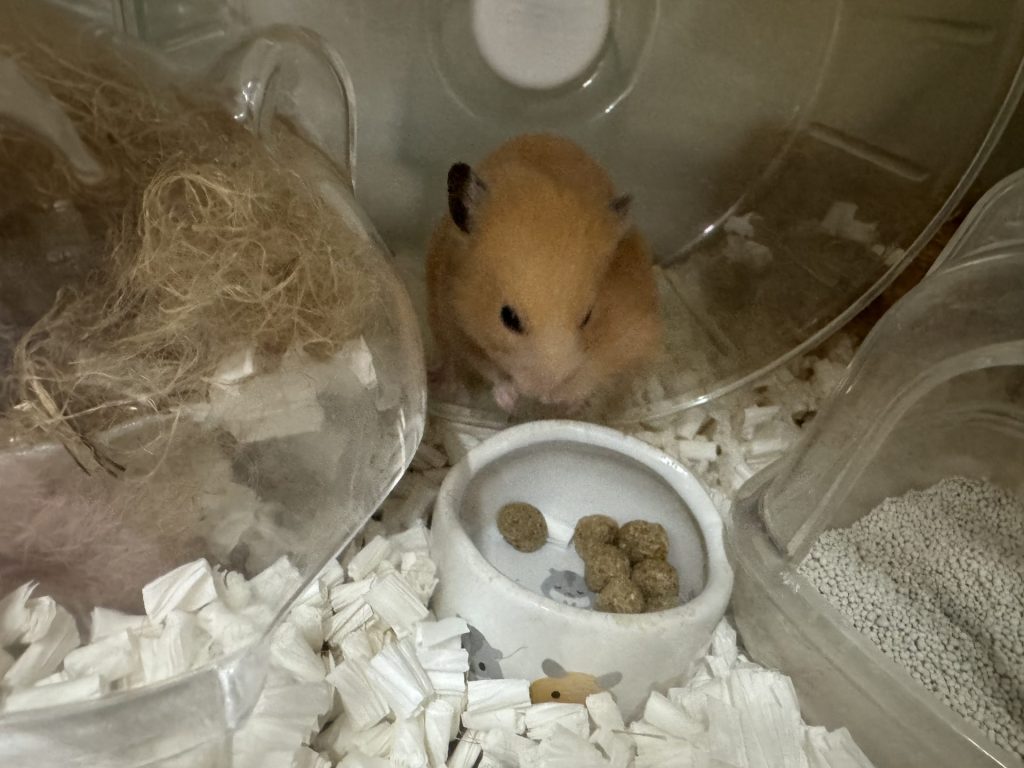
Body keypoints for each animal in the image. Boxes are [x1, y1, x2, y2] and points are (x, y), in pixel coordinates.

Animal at [426, 133, 662, 414]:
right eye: (508, 318)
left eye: (588, 317)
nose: (545, 395)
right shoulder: (453, 317)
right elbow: (486, 365)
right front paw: (509, 400)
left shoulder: (630, 333)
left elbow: (593, 374)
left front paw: (566, 403)